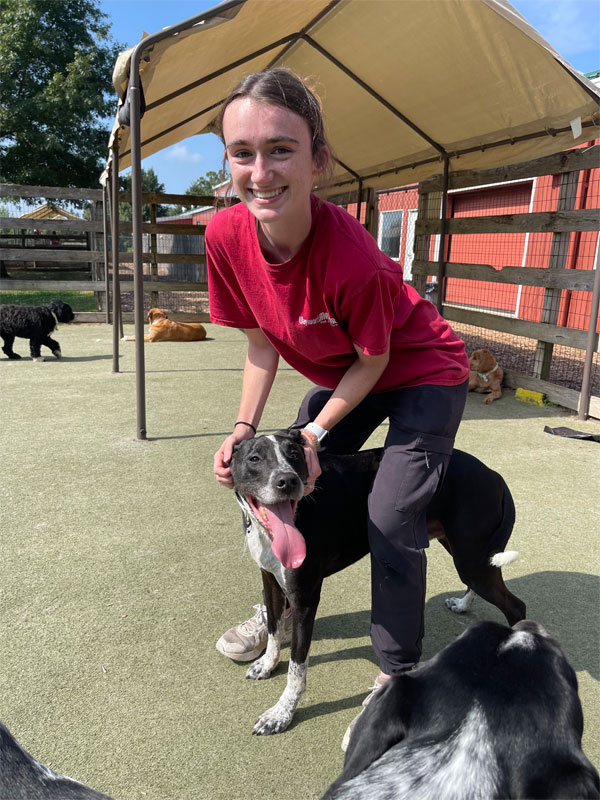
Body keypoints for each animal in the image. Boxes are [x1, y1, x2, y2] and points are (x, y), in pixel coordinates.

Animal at [227, 432, 528, 736]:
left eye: (295, 455)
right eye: (254, 458)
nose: (287, 481)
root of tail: (493, 474)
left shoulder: (305, 598)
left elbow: (297, 668)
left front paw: (281, 713)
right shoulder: (270, 581)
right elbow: (274, 629)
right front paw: (267, 664)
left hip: (471, 558)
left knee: (516, 606)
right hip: (467, 553)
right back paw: (463, 604)